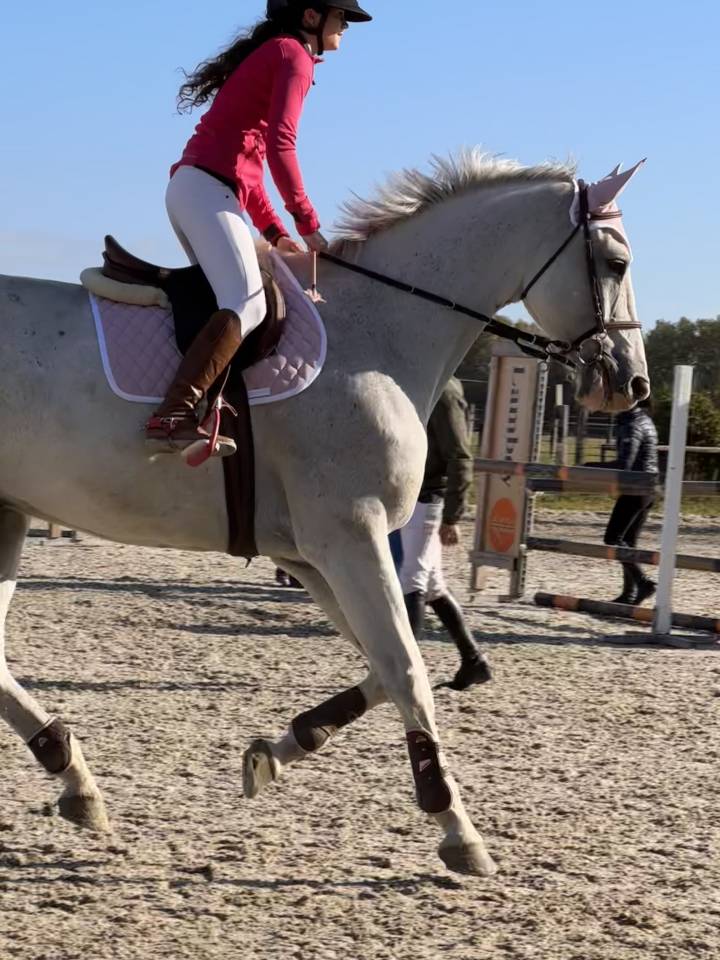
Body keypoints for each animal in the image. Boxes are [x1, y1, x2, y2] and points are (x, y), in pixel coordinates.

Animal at [0, 151, 649, 876]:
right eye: (616, 262)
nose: (633, 384)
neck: (375, 335)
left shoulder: (312, 555)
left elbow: (384, 666)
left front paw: (277, 751)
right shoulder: (350, 538)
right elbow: (406, 670)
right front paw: (455, 826)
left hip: (7, 514)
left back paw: (74, 778)